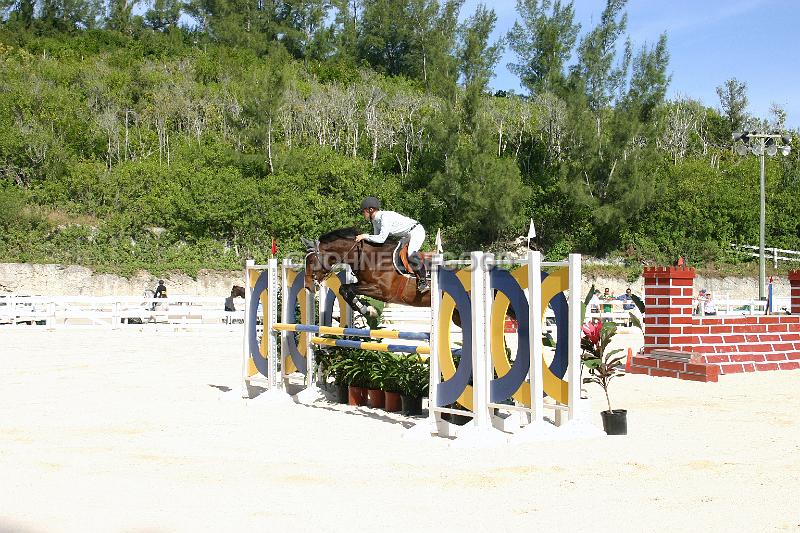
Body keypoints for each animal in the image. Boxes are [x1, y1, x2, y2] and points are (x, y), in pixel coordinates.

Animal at [300, 227, 428, 318]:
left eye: (310, 261)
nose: (307, 286)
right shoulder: (363, 283)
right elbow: (344, 289)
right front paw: (366, 310)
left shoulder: (384, 292)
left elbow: (349, 289)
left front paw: (368, 310)